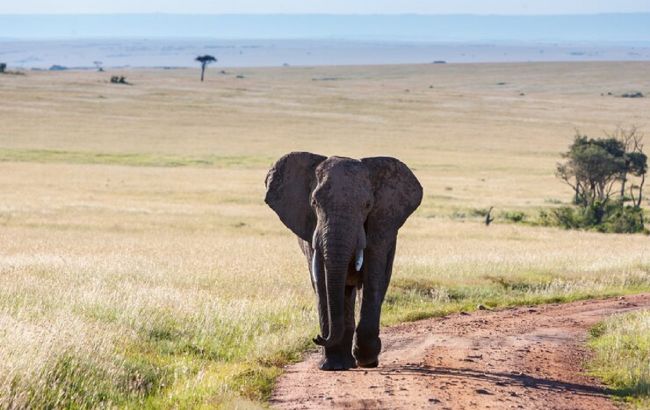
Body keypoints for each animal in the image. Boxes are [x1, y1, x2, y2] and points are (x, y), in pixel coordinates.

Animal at [264, 152, 422, 370]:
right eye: (314, 203)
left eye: (367, 205)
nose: (317, 338)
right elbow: (322, 283)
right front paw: (331, 366)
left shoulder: (381, 224)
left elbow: (373, 278)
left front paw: (365, 358)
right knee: (343, 291)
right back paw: (344, 362)